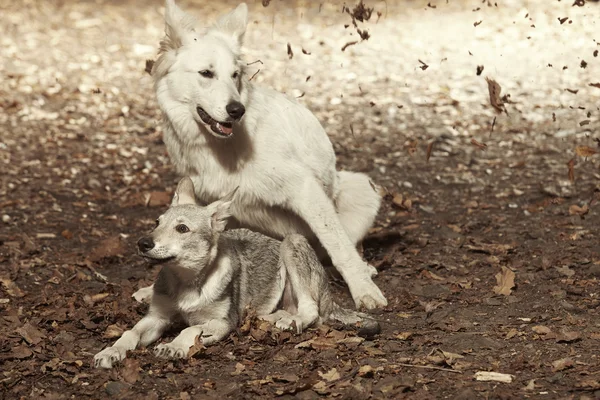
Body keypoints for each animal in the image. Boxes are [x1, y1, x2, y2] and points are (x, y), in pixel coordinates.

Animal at [93, 178, 378, 368]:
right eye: (156, 223)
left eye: (182, 229)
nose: (143, 243)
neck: (186, 283)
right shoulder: (156, 317)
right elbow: (129, 333)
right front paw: (110, 352)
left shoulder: (222, 322)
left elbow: (190, 330)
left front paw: (173, 346)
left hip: (291, 243)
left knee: (312, 312)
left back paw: (289, 321)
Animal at [142, 0, 386, 310]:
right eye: (207, 73)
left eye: (235, 75)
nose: (237, 110)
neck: (221, 147)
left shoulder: (305, 190)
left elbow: (339, 247)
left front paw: (364, 291)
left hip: (362, 188)